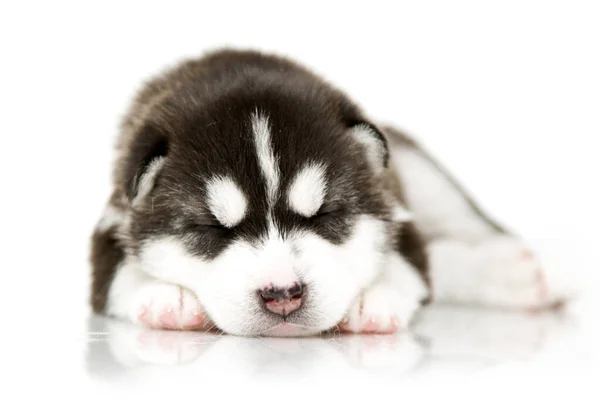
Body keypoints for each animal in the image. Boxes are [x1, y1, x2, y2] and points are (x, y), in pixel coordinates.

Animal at [90, 50, 572, 338]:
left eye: (325, 216)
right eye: (211, 228)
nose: (283, 294)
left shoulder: (398, 212)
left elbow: (412, 263)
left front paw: (374, 294)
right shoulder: (111, 224)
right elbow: (117, 274)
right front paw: (164, 295)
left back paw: (520, 273)